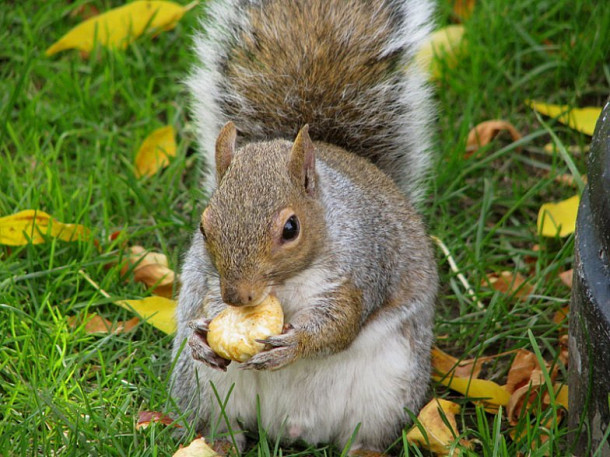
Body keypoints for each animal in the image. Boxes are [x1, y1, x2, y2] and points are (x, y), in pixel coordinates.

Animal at [171, 0, 436, 450]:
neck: (284, 285)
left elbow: (341, 323)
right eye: (204, 227)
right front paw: (200, 335)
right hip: (207, 392)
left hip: (390, 388)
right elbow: (204, 302)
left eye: (290, 229)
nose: (237, 297)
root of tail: (292, 429)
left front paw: (295, 343)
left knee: (363, 438)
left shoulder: (363, 267)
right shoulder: (208, 279)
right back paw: (217, 446)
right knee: (223, 427)